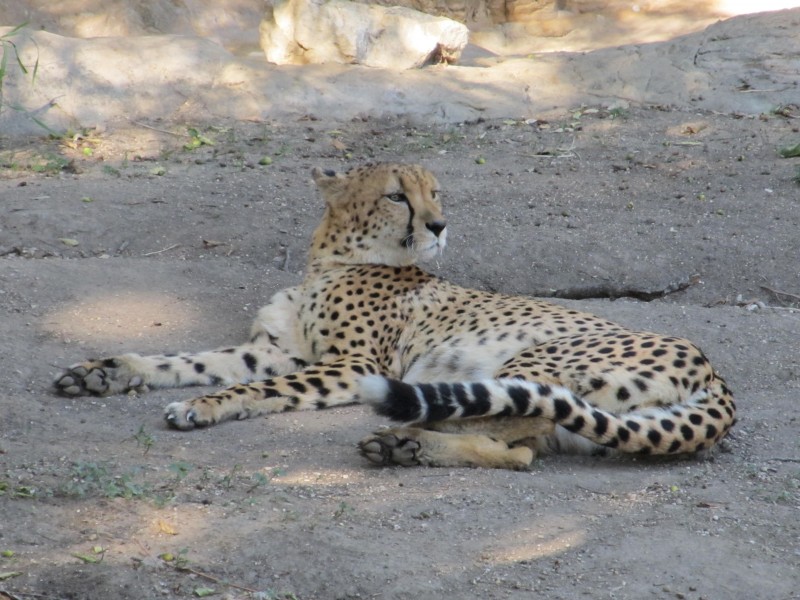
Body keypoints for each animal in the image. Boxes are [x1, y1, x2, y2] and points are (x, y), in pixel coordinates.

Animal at [53, 163, 736, 468]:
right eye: (396, 195)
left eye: (436, 194)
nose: (439, 224)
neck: (330, 260)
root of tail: (713, 370)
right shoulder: (277, 349)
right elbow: (186, 359)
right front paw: (108, 371)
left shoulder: (352, 366)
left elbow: (253, 388)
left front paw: (204, 406)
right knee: (528, 445)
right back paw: (404, 445)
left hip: (532, 360)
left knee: (524, 428)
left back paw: (407, 437)